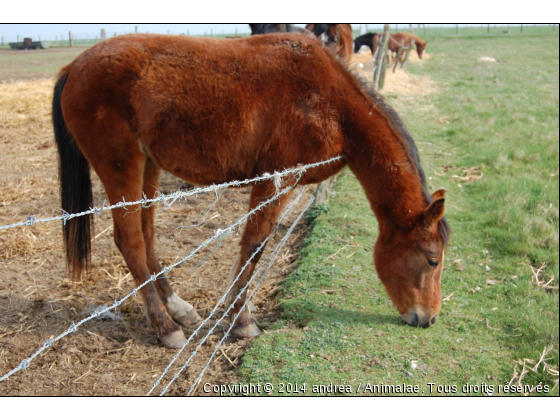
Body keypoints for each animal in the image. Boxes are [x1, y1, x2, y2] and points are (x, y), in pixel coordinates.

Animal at [53, 33, 450, 348]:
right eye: (432, 259)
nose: (428, 318)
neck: (332, 103)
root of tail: (73, 67)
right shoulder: (275, 181)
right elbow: (254, 247)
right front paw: (242, 322)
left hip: (147, 168)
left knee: (147, 238)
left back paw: (178, 308)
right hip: (121, 167)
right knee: (132, 242)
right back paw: (166, 327)